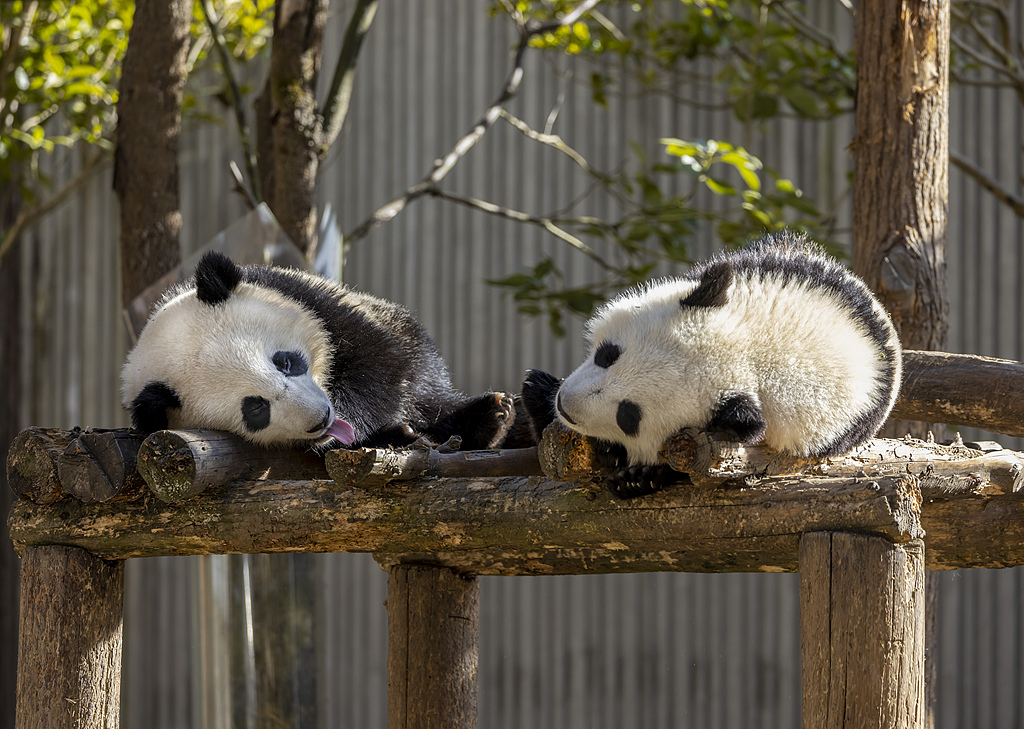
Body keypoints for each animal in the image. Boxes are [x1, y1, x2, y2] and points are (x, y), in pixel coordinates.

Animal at [121, 253, 520, 452]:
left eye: (285, 361)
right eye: (255, 409)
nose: (323, 418)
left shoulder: (313, 302)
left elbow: (379, 366)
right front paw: (390, 433)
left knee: (430, 391)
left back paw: (490, 415)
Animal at [524, 233, 901, 501]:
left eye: (629, 416)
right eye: (608, 354)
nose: (566, 405)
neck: (758, 342)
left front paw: (637, 477)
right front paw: (537, 390)